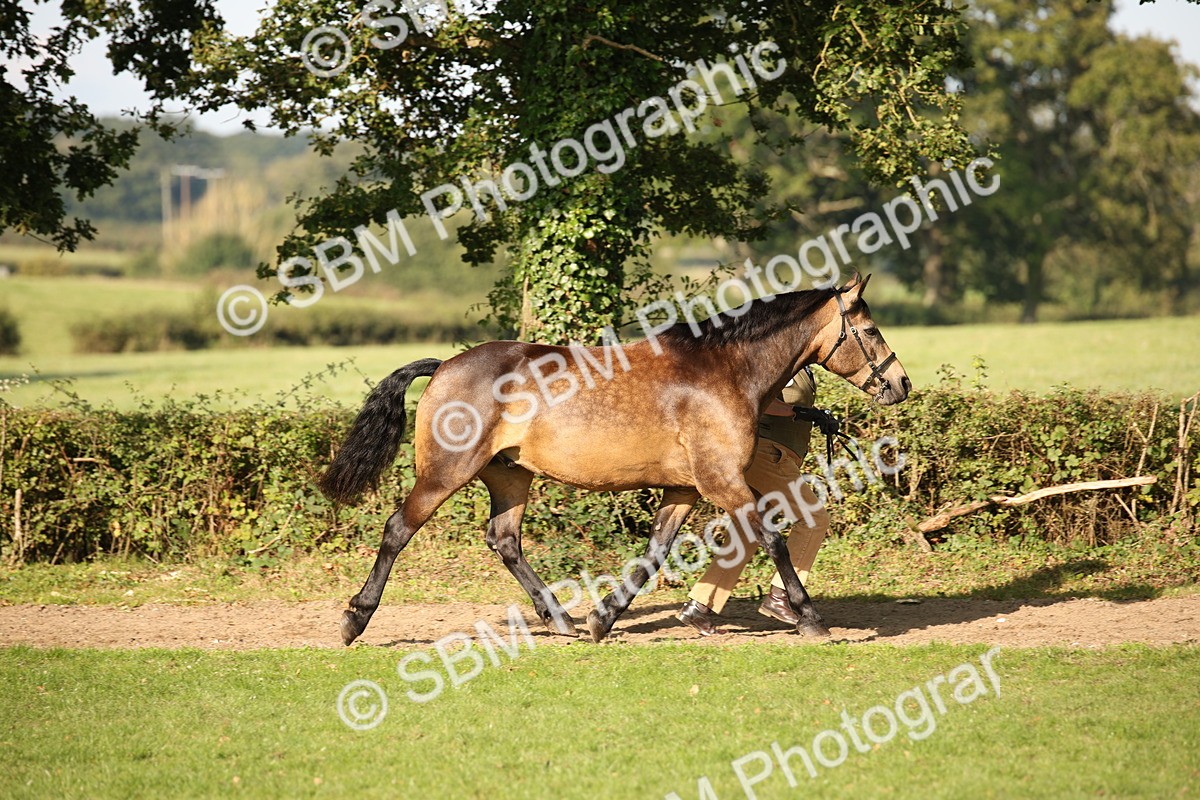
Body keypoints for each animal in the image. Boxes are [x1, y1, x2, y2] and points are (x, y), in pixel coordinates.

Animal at [320, 273, 910, 645]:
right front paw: (810, 618)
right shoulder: (723, 482)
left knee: (505, 541)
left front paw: (603, 619)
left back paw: (562, 620)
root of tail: (444, 366)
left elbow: (654, 554)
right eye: (871, 330)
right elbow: (772, 538)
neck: (723, 370)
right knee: (398, 529)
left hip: (510, 476)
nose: (901, 384)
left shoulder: (685, 489)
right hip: (445, 473)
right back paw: (354, 620)